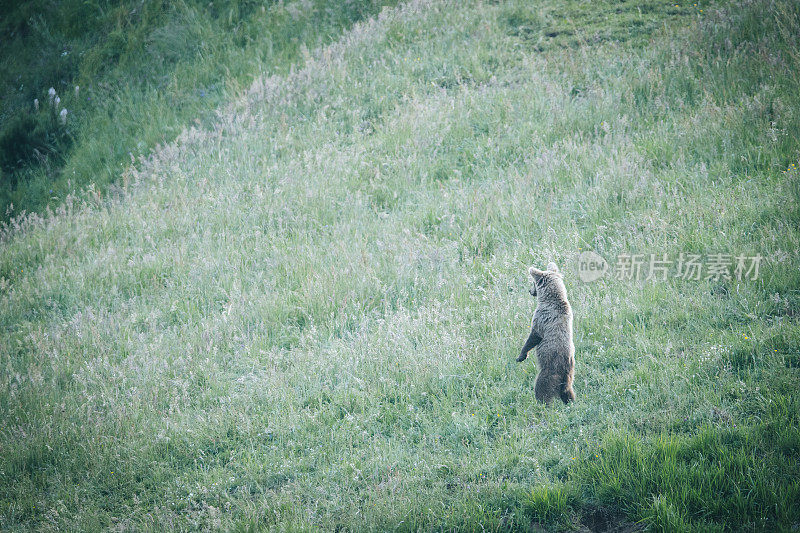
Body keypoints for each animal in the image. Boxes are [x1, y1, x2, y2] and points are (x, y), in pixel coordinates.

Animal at [520, 262, 576, 404]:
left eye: (533, 283)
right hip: (570, 375)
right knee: (568, 391)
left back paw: (541, 404)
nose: (530, 291)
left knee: (541, 387)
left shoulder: (542, 318)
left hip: (549, 369)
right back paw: (571, 402)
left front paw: (521, 355)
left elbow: (534, 336)